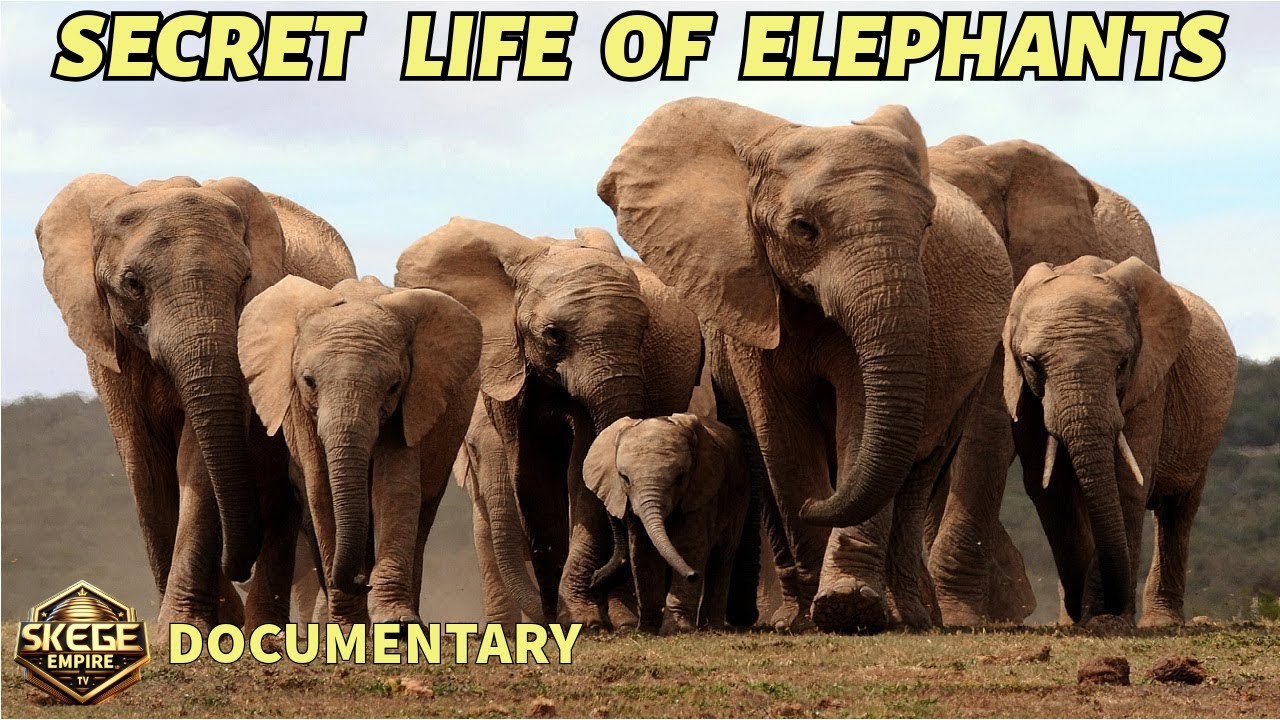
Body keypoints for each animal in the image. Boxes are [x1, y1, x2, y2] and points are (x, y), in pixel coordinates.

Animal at [35, 174, 355, 632]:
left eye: (245, 280)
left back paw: (262, 631)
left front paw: (185, 629)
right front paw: (193, 626)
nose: (235, 566)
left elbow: (198, 460)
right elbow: (143, 463)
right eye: (132, 284)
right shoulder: (106, 342)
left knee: (283, 497)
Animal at [237, 275, 481, 627]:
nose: (360, 581)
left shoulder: (408, 404)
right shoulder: (299, 410)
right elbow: (321, 492)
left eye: (393, 386)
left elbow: (395, 488)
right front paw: (347, 624)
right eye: (308, 381)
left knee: (422, 513)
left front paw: (397, 623)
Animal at [397, 220, 714, 628]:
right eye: (553, 334)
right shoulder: (510, 364)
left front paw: (582, 617)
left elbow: (583, 471)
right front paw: (557, 619)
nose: (600, 579)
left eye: (644, 331)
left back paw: (623, 619)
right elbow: (531, 472)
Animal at [583, 414, 749, 633]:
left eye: (680, 478)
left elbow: (690, 545)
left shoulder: (701, 492)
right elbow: (643, 552)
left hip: (739, 497)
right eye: (624, 478)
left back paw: (712, 628)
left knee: (723, 556)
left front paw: (678, 630)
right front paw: (647, 630)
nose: (693, 574)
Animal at [1002, 256, 1235, 628]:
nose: (1083, 611)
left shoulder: (1150, 383)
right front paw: (1081, 619)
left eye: (1123, 363)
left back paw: (1161, 622)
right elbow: (1050, 489)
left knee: (1177, 511)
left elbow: (1126, 482)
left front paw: (1106, 621)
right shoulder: (1020, 390)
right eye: (1032, 363)